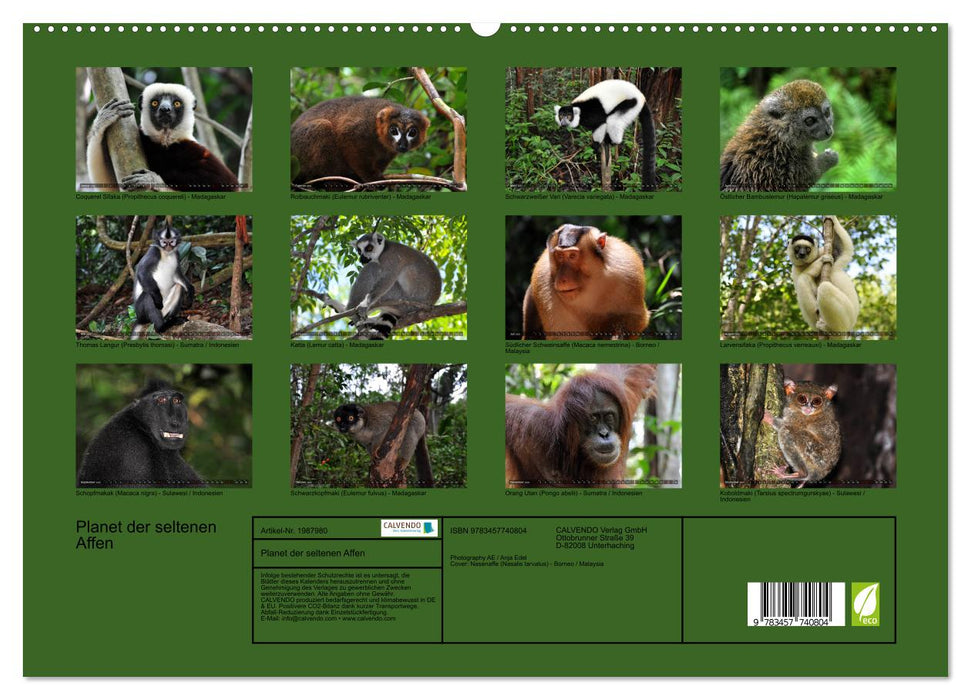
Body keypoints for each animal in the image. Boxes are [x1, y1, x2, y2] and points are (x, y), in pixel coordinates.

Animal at [86, 83, 240, 192]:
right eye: (155, 103)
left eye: (176, 103)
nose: (165, 109)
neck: (166, 141)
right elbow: (108, 183)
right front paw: (104, 119)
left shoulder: (198, 151)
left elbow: (226, 184)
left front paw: (152, 181)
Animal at [290, 96, 430, 186]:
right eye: (394, 130)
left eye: (412, 133)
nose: (402, 145)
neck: (377, 135)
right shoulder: (362, 126)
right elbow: (347, 137)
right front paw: (371, 178)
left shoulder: (389, 150)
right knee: (321, 126)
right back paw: (333, 179)